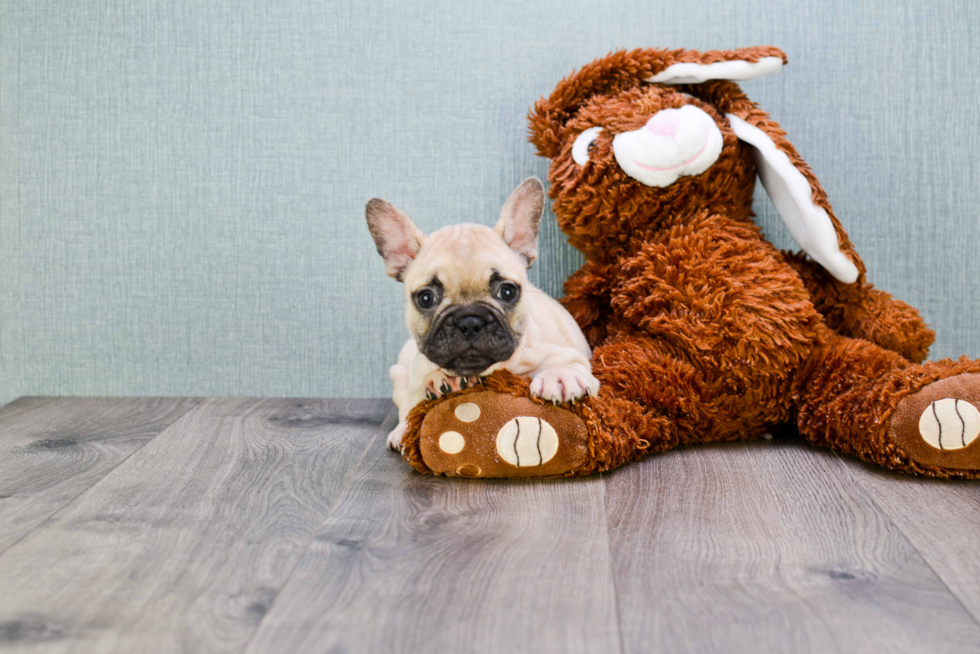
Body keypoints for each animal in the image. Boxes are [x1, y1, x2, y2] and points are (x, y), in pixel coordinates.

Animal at [366, 177, 600, 454]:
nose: (469, 321)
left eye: (507, 292)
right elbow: (414, 400)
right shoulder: (414, 373)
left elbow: (567, 362)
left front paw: (560, 376)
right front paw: (439, 382)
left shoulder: (570, 355)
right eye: (425, 298)